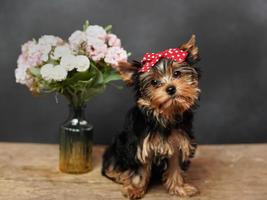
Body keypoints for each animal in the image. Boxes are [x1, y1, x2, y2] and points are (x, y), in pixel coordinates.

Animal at [102, 34, 201, 198]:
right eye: (154, 82)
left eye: (177, 74)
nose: (171, 88)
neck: (165, 114)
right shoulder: (140, 146)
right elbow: (140, 170)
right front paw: (135, 189)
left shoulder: (179, 143)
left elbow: (175, 167)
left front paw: (179, 187)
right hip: (118, 144)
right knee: (111, 166)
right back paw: (119, 175)